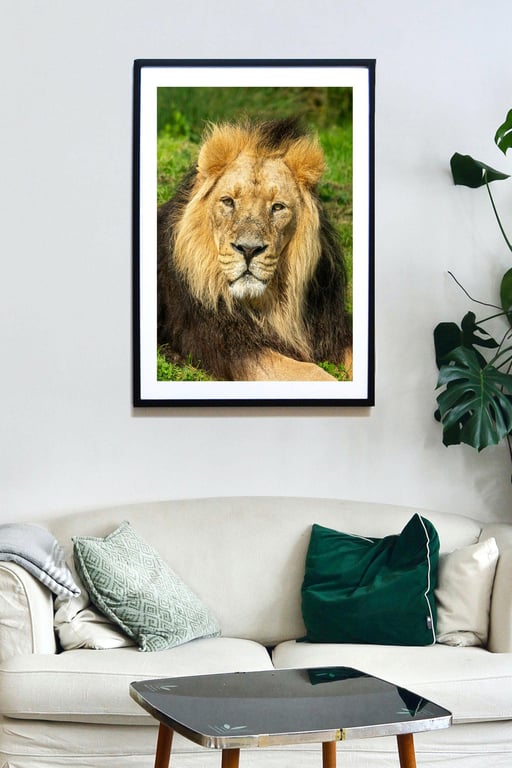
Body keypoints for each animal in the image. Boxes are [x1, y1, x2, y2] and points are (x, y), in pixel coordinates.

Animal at [157, 117, 352, 381]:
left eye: (277, 207)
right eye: (228, 201)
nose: (248, 250)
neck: (273, 303)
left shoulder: (332, 328)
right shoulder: (231, 345)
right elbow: (310, 371)